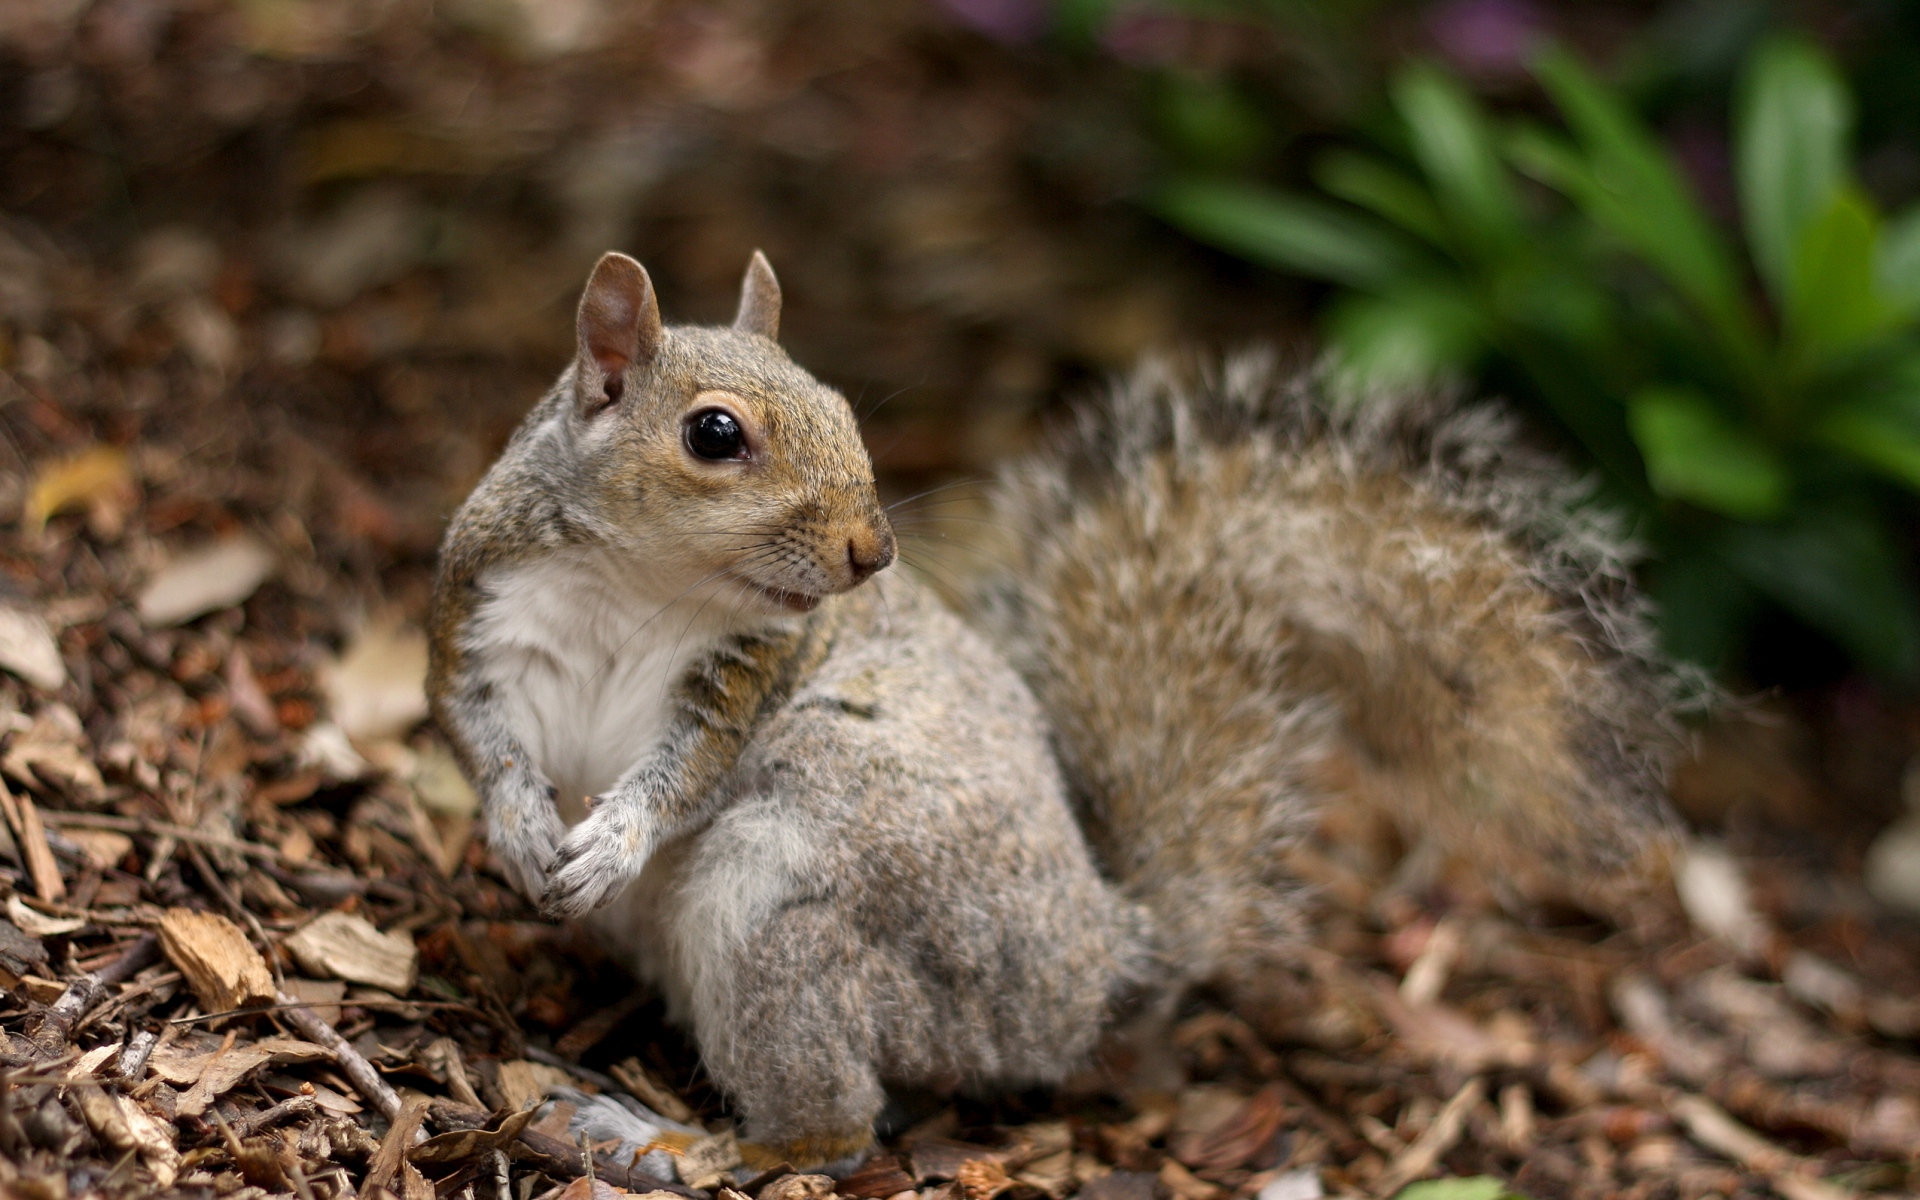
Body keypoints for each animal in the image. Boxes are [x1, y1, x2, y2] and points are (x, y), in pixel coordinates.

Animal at [428, 250, 1685, 1169]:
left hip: (789, 909)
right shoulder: (478, 619)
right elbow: (479, 738)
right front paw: (522, 827)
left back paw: (673, 1142)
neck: (637, 586)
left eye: (845, 409)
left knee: (832, 1134)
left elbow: (682, 771)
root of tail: (1102, 962)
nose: (874, 552)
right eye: (715, 434)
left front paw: (613, 837)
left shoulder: (745, 677)